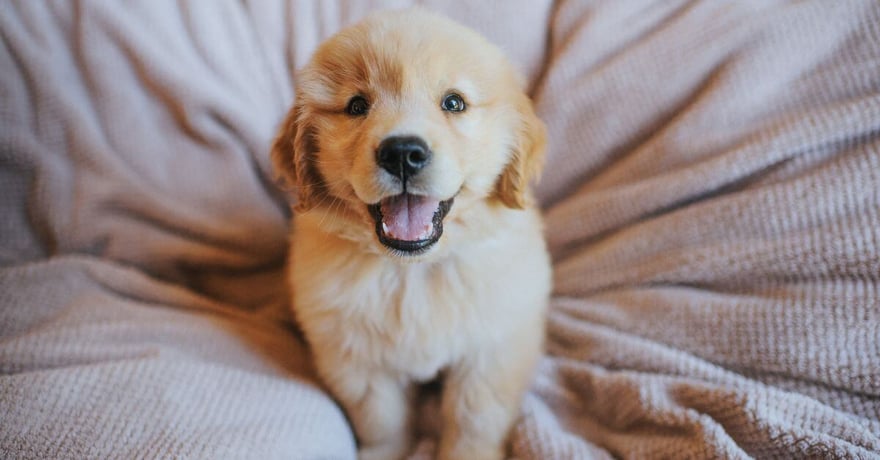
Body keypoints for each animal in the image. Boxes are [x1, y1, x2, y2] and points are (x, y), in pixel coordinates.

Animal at [274, 8, 552, 460]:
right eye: (357, 105)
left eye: (454, 102)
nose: (403, 152)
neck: (413, 270)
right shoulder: (356, 358)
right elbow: (382, 420)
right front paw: (383, 453)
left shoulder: (493, 351)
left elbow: (473, 420)